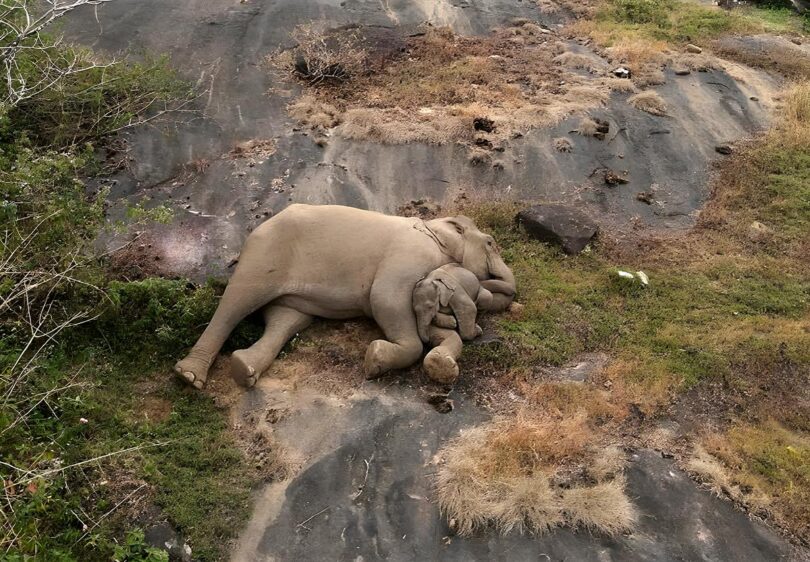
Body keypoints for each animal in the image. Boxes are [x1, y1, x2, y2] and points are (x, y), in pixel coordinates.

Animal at [172, 203, 512, 388]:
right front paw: (375, 359)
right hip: (264, 254)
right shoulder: (410, 253)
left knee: (286, 320)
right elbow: (385, 298)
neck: (433, 226)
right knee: (237, 301)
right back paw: (189, 377)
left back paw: (244, 369)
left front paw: (441, 360)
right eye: (491, 243)